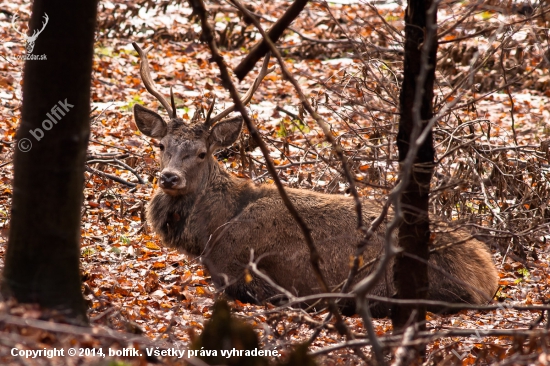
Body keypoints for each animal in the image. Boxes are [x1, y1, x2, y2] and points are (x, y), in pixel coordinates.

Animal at [133, 43, 500, 316]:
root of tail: (488, 277)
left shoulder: (241, 270)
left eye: (201, 153)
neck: (210, 232)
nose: (169, 177)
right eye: (162, 145)